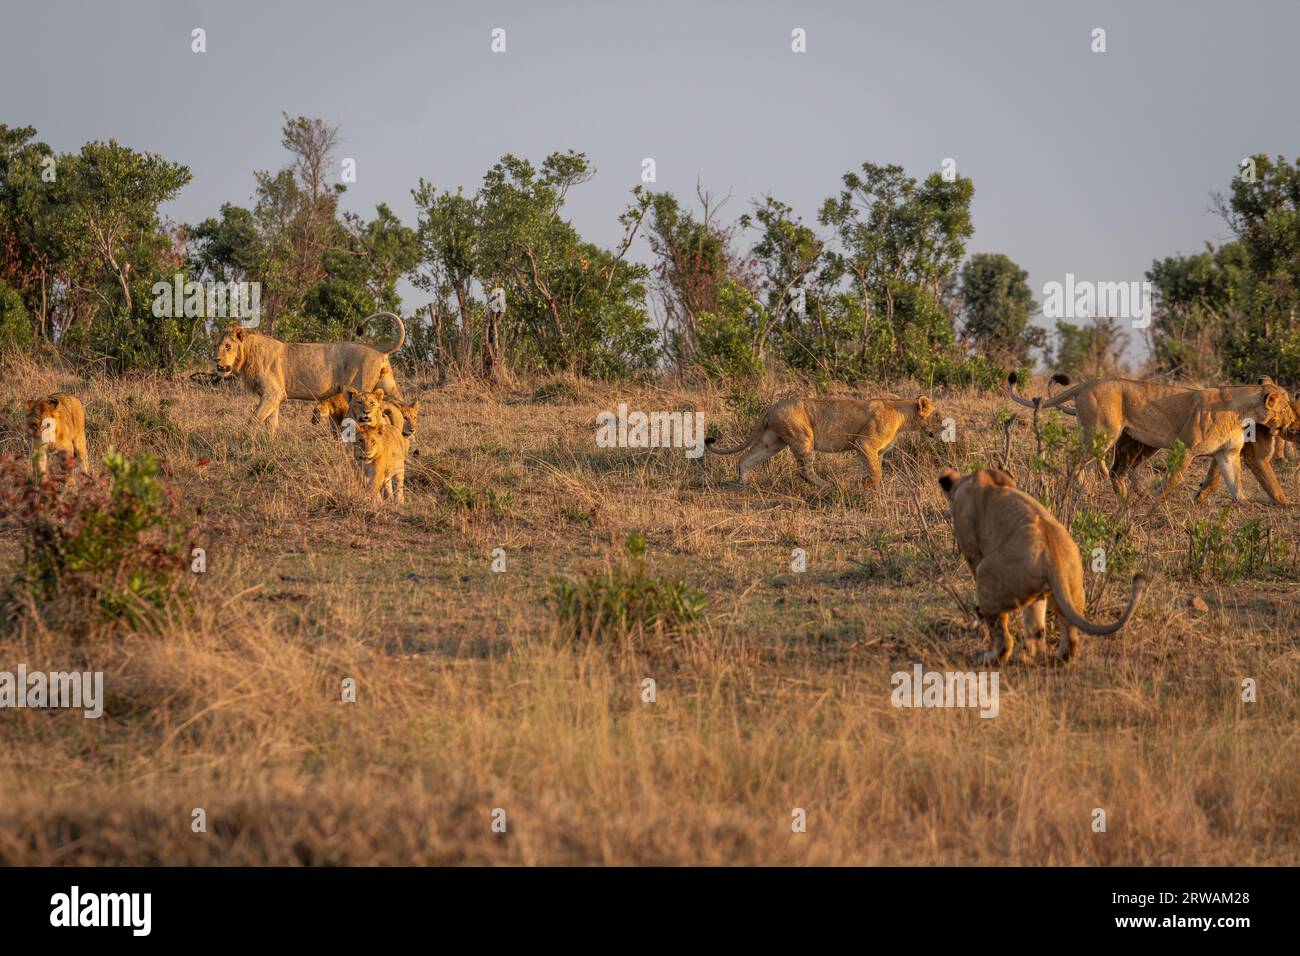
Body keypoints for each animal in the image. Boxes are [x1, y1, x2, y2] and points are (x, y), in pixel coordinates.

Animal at [214, 312, 406, 433]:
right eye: (215, 345)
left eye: (228, 346)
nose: (216, 360)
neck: (248, 354)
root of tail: (379, 349)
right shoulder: (274, 396)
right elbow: (272, 423)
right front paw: (270, 445)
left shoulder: (273, 393)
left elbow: (254, 419)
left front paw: (243, 443)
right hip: (389, 388)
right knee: (403, 409)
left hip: (359, 390)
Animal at [704, 395, 941, 487]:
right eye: (937, 416)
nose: (944, 428)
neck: (904, 416)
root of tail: (770, 407)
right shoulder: (864, 444)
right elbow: (876, 472)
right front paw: (863, 484)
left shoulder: (877, 451)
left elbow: (876, 469)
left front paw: (869, 485)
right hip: (803, 437)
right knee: (803, 470)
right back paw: (826, 485)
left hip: (773, 442)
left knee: (745, 459)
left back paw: (742, 482)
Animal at [938, 467, 1150, 663]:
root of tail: (1052, 557)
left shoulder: (972, 548)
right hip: (1065, 588)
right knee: (1061, 635)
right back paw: (1046, 659)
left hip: (988, 578)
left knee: (1004, 638)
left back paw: (985, 657)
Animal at [1007, 372, 1294, 501]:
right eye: (1286, 406)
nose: (1292, 423)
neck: (1242, 412)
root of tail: (1087, 383)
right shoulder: (1185, 448)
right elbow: (1172, 479)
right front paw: (1157, 499)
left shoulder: (1228, 454)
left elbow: (1235, 483)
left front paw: (1246, 503)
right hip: (1103, 432)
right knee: (1075, 460)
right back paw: (1085, 488)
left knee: (1112, 468)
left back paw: (1122, 495)